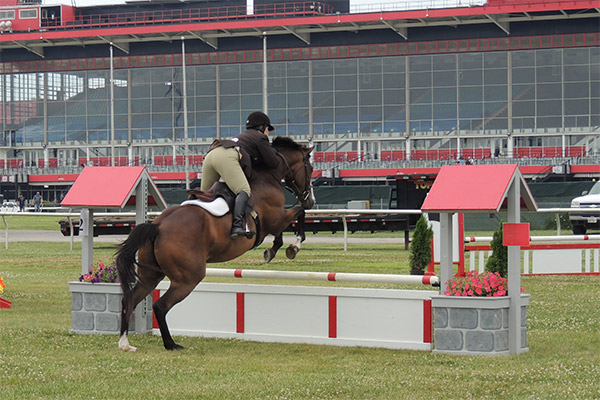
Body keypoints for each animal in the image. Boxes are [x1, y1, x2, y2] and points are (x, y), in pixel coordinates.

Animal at [115, 137, 316, 350]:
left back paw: (125, 343)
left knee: (129, 300)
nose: (311, 200)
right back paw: (171, 344)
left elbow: (288, 226)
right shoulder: (276, 219)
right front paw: (292, 247)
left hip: (151, 274)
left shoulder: (275, 221)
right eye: (310, 168)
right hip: (188, 278)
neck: (268, 177)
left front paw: (273, 250)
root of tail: (157, 226)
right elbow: (299, 214)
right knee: (160, 306)